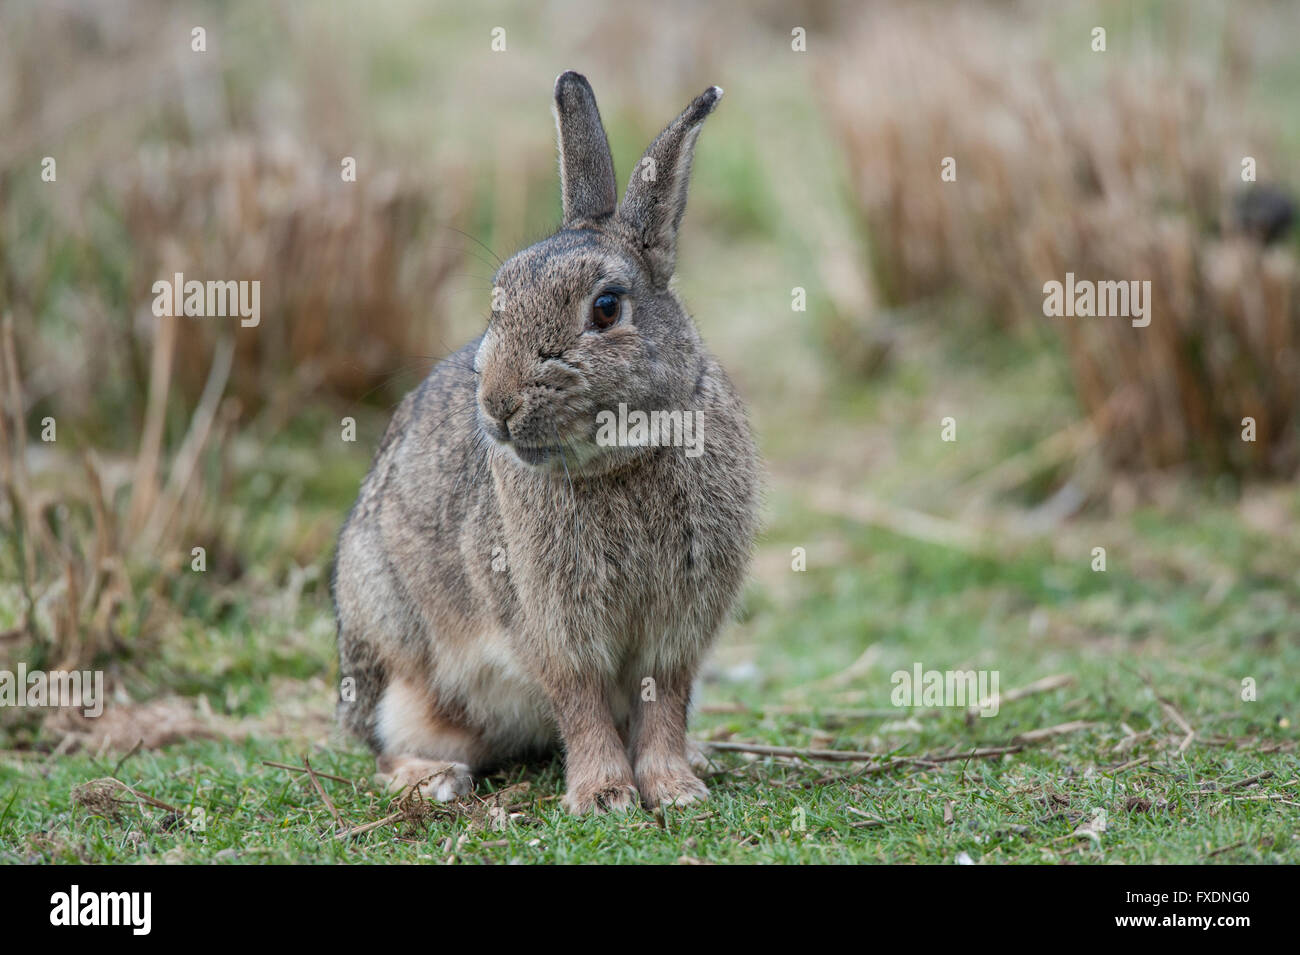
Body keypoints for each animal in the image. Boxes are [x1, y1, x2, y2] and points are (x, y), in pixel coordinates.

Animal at [332, 71, 759, 813]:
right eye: (497, 303)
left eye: (607, 308)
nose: (498, 406)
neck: (619, 460)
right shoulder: (549, 620)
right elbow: (579, 699)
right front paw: (605, 794)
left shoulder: (680, 625)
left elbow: (665, 701)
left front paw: (675, 787)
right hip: (390, 650)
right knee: (382, 747)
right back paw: (433, 778)